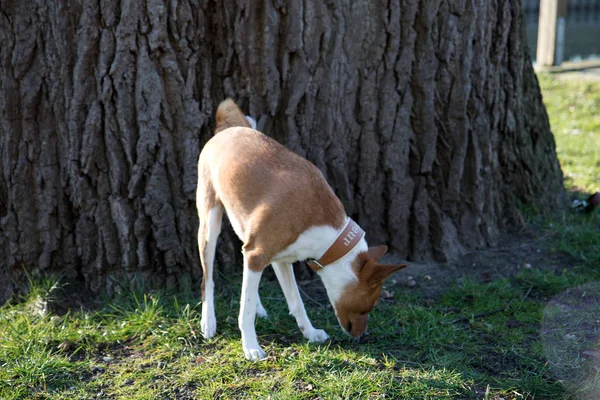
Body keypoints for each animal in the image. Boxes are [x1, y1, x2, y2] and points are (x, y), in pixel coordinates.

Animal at [197, 99, 408, 360]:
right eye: (371, 305)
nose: (362, 336)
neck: (328, 233)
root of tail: (228, 129)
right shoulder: (258, 255)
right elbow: (244, 311)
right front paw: (251, 346)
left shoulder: (279, 260)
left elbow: (295, 301)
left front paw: (310, 333)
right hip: (209, 223)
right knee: (207, 279)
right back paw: (208, 322)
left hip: (241, 223)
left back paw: (258, 306)